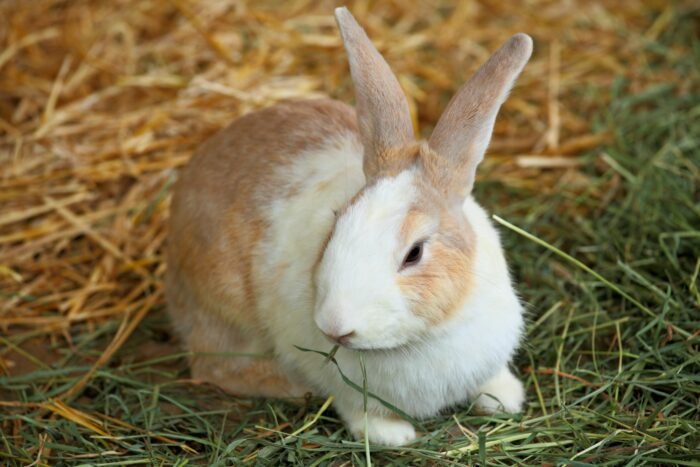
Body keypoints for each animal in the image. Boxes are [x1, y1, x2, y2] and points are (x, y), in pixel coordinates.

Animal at [167, 6, 532, 446]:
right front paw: (394, 435)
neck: (422, 337)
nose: (335, 327)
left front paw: (506, 398)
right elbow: (358, 411)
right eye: (336, 224)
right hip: (226, 309)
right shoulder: (346, 391)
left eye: (414, 253)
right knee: (214, 368)